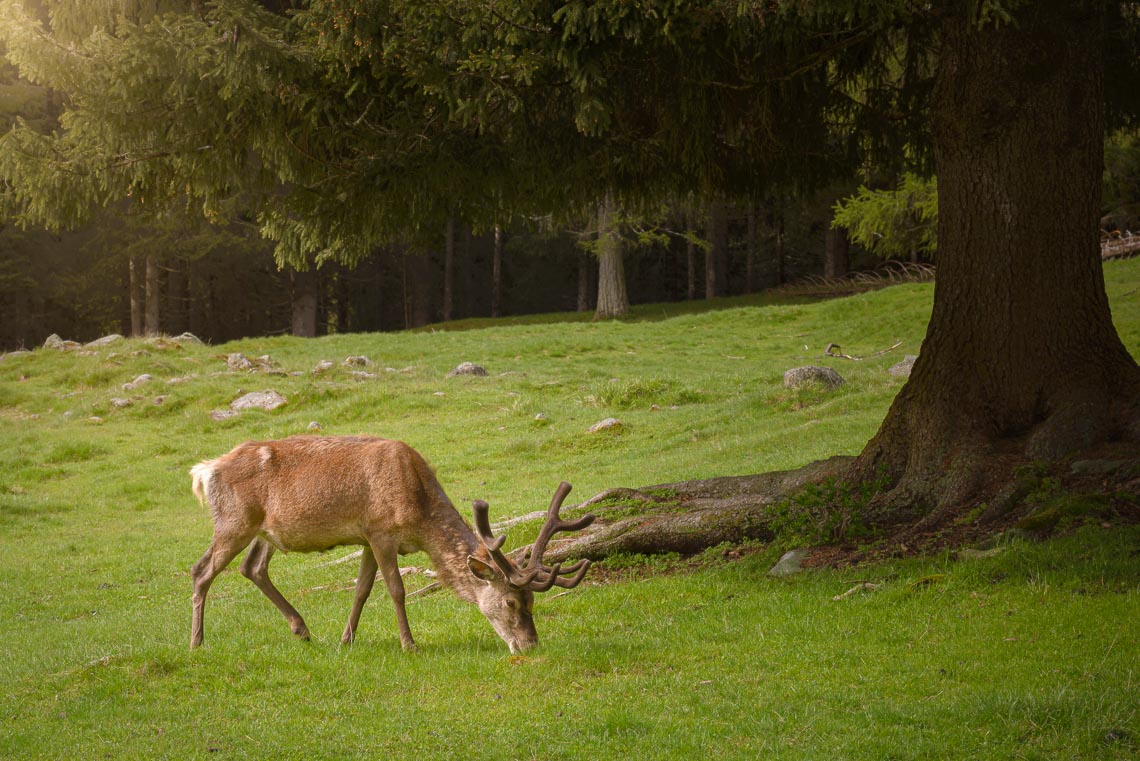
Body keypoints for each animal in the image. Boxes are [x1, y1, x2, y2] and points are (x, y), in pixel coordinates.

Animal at [188, 437, 592, 651]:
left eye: (532, 602)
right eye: (510, 601)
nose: (530, 644)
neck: (419, 514)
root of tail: (203, 471)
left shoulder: (367, 538)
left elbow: (362, 589)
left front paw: (346, 640)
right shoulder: (381, 532)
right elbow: (395, 589)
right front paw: (409, 644)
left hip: (264, 532)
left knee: (252, 567)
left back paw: (301, 629)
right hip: (233, 522)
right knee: (200, 570)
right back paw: (197, 642)